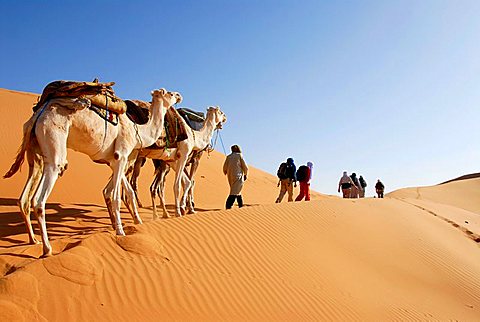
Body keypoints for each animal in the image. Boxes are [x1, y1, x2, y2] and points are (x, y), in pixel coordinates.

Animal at [3, 88, 182, 256]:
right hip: (53, 143)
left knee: (24, 198)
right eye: (169, 93)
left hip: (35, 154)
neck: (136, 129)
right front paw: (121, 231)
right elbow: (115, 196)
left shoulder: (115, 160)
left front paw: (133, 222)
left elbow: (123, 192)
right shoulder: (122, 154)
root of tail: (38, 116)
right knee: (39, 200)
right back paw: (47, 249)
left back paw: (34, 240)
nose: (179, 95)